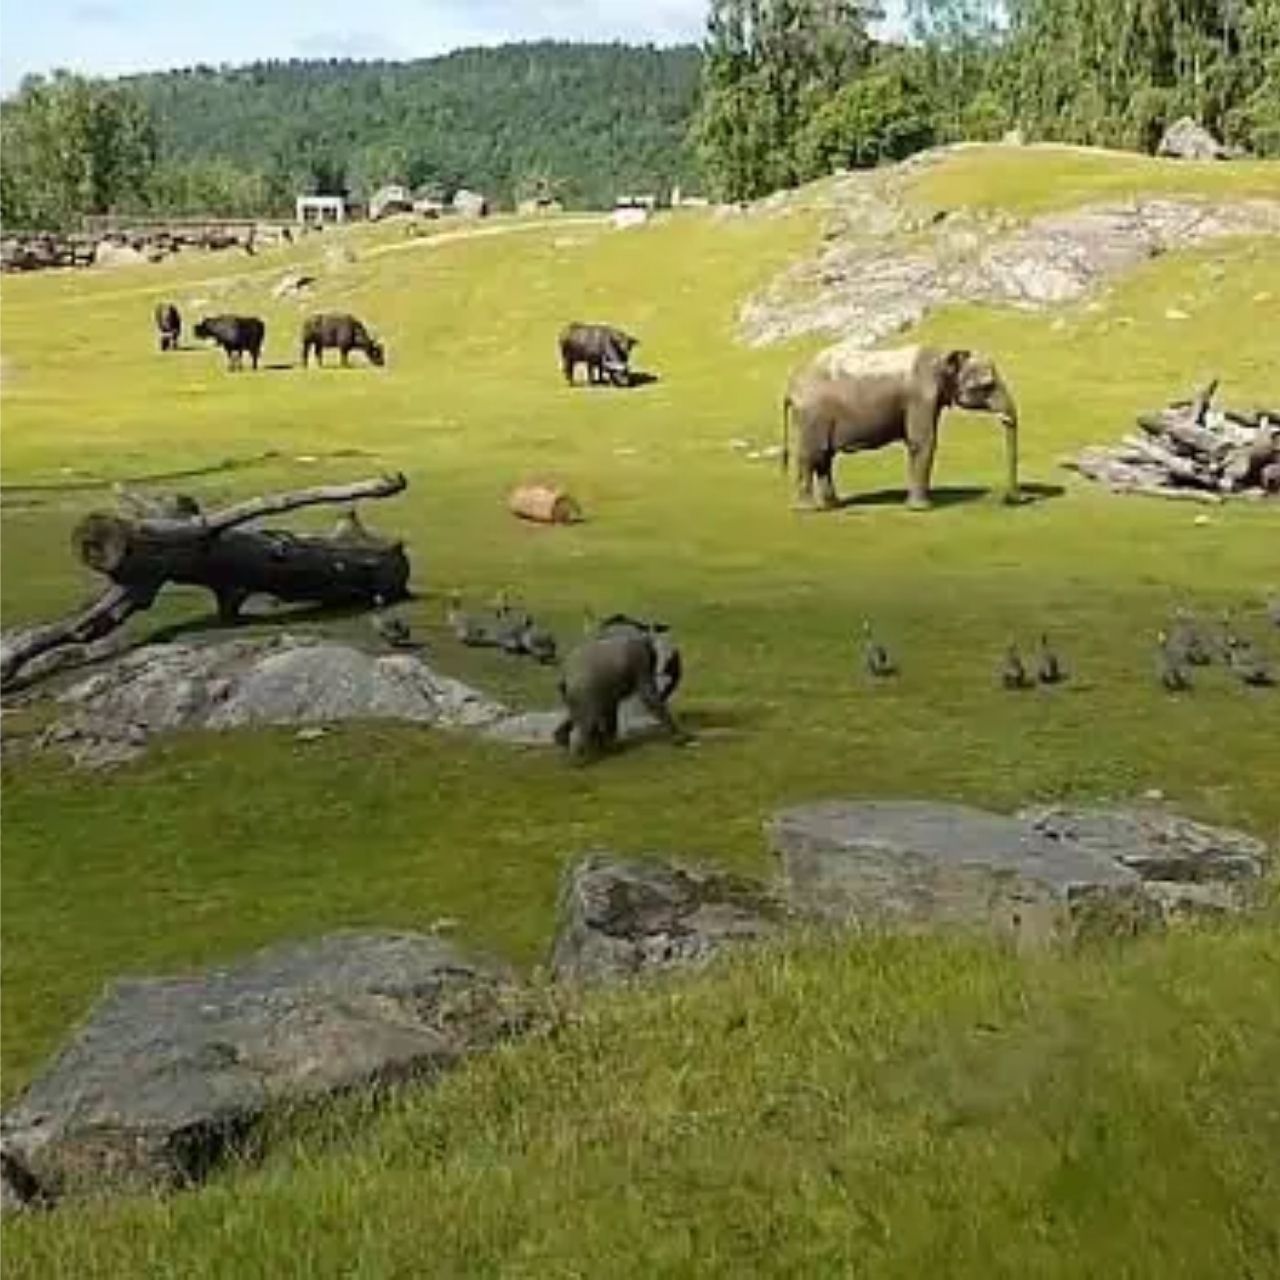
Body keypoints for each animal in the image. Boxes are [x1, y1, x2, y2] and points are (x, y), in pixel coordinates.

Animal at [781, 343, 1019, 510]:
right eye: (988, 385)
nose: (1012, 499)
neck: (942, 354)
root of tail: (791, 387)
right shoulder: (920, 398)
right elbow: (923, 443)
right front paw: (922, 509)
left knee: (824, 457)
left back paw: (833, 506)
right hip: (811, 415)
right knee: (811, 455)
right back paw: (808, 509)